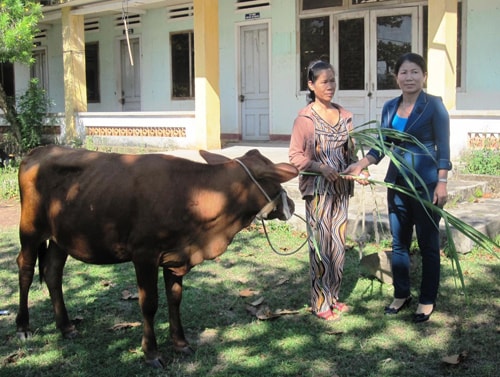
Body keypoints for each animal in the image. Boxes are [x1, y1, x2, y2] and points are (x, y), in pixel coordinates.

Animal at [15, 145, 296, 368]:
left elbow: (175, 299)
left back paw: (65, 327)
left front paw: (181, 343)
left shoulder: (177, 255)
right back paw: (23, 327)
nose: (292, 205)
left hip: (61, 237)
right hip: (30, 229)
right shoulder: (144, 254)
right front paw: (151, 353)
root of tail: (37, 151)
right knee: (25, 269)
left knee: (52, 272)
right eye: (274, 180)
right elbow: (149, 303)